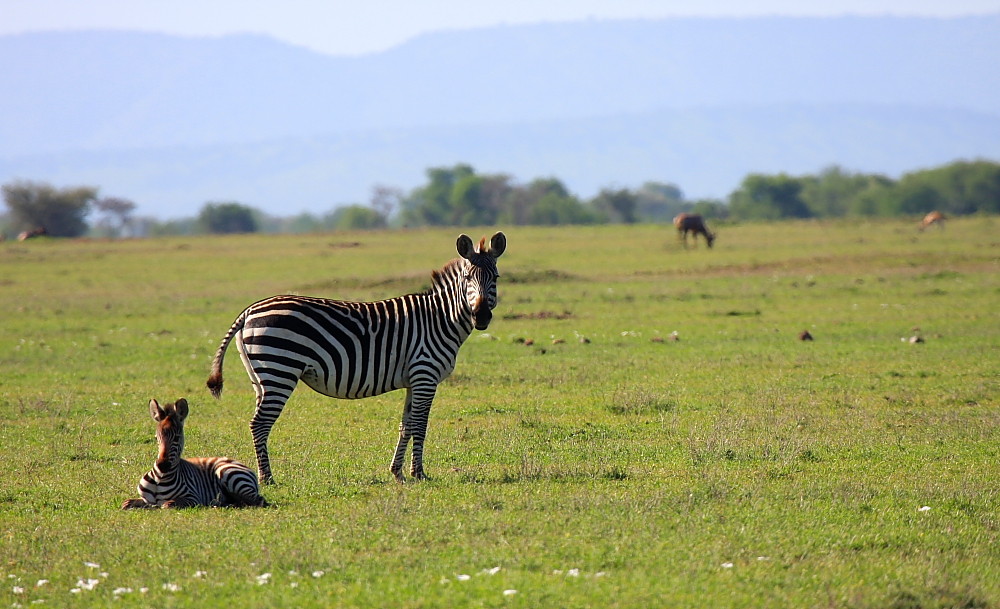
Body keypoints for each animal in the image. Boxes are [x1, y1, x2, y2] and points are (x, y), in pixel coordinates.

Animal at [120, 396, 268, 506]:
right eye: (157, 438)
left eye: (177, 438)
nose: (162, 465)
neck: (160, 477)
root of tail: (233, 460)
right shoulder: (143, 499)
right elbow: (126, 503)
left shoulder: (192, 497)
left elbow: (166, 504)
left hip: (228, 473)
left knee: (259, 500)